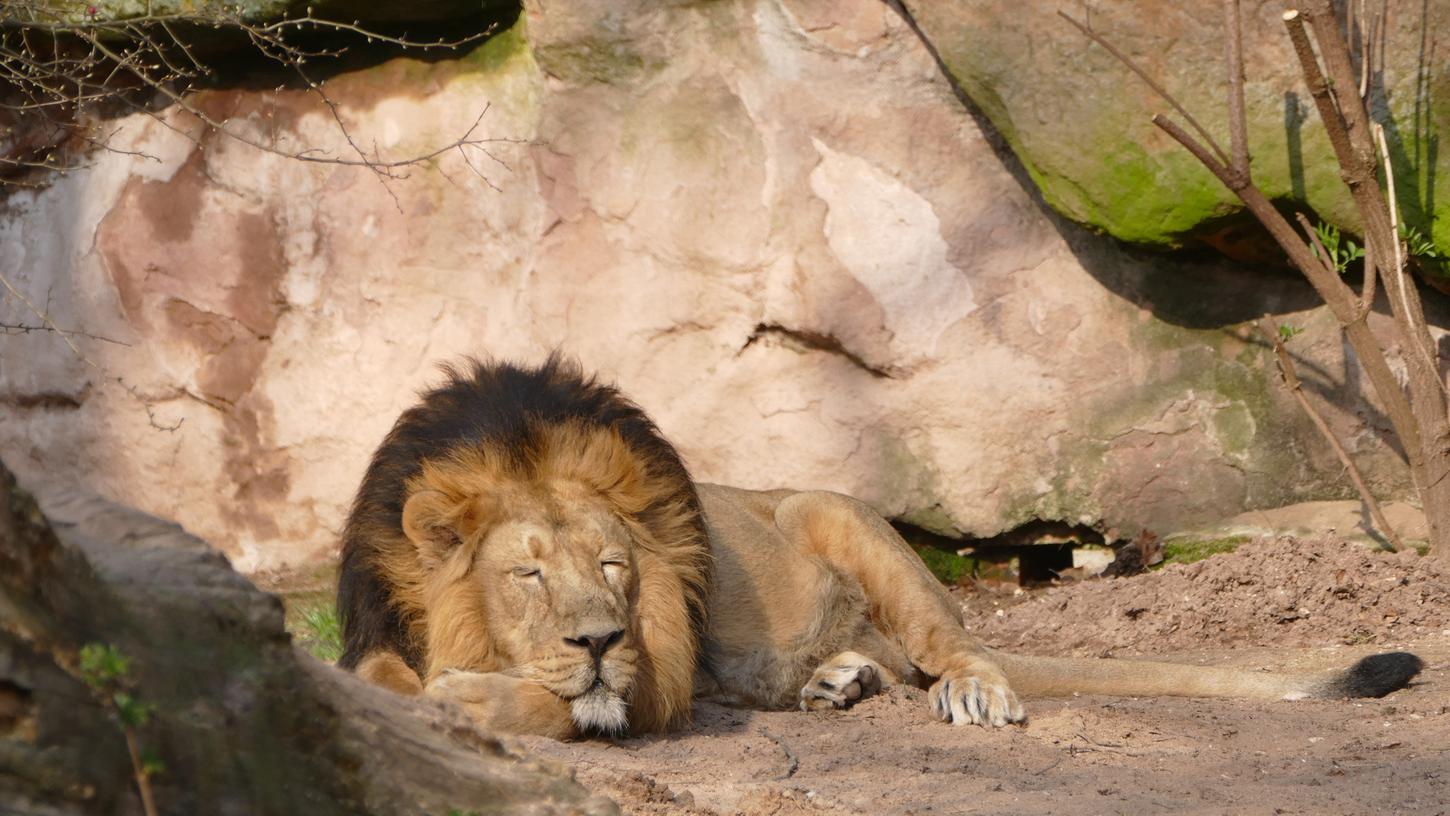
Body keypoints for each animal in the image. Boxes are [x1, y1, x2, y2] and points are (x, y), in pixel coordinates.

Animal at [336, 357, 1415, 742]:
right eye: (525, 573)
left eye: (613, 568)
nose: (599, 639)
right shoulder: (376, 629)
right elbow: (378, 678)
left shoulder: (660, 668)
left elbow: (567, 701)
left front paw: (474, 699)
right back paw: (835, 680)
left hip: (845, 518)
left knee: (954, 646)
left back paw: (968, 691)